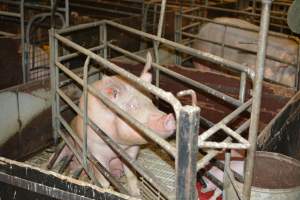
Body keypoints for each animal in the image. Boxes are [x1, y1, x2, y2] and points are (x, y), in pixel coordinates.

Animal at [51, 52, 176, 197]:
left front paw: (136, 194)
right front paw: (105, 190)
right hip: (66, 144)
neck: (118, 143)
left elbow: (130, 174)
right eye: (131, 106)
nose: (169, 118)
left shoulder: (131, 150)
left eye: (151, 101)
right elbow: (103, 178)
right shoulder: (96, 151)